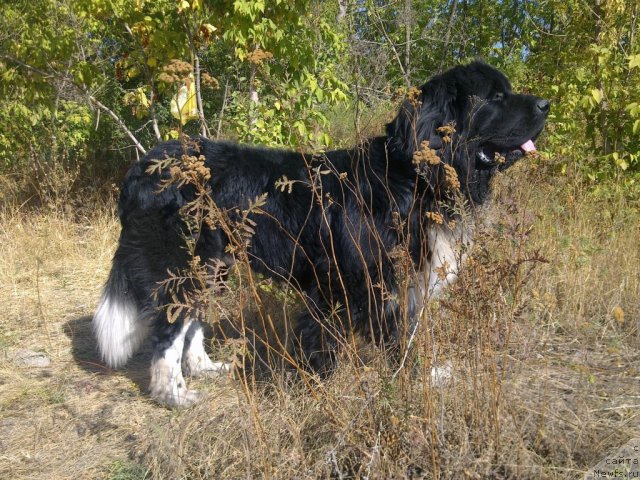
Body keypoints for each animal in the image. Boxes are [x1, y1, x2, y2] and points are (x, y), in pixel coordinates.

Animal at [92, 60, 548, 404]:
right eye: (495, 97)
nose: (546, 104)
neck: (410, 177)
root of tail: (141, 167)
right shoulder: (356, 282)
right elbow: (368, 338)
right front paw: (329, 388)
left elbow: (401, 337)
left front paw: (423, 377)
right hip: (187, 263)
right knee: (168, 331)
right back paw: (174, 394)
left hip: (216, 266)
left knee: (191, 322)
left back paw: (205, 368)